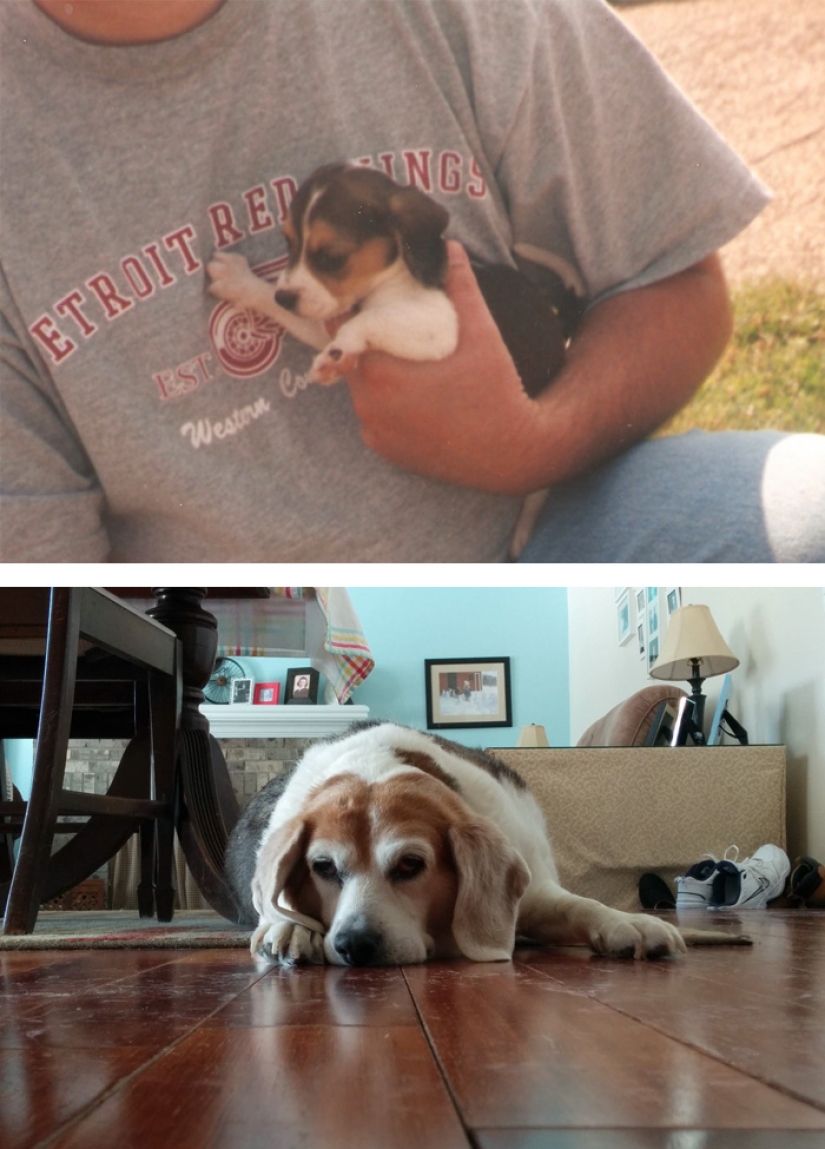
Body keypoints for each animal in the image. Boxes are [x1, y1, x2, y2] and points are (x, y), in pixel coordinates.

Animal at [224, 721, 749, 965]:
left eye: (411, 865)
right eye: (324, 868)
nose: (354, 944)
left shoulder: (536, 893)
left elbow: (581, 906)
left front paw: (629, 924)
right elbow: (278, 907)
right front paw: (288, 927)